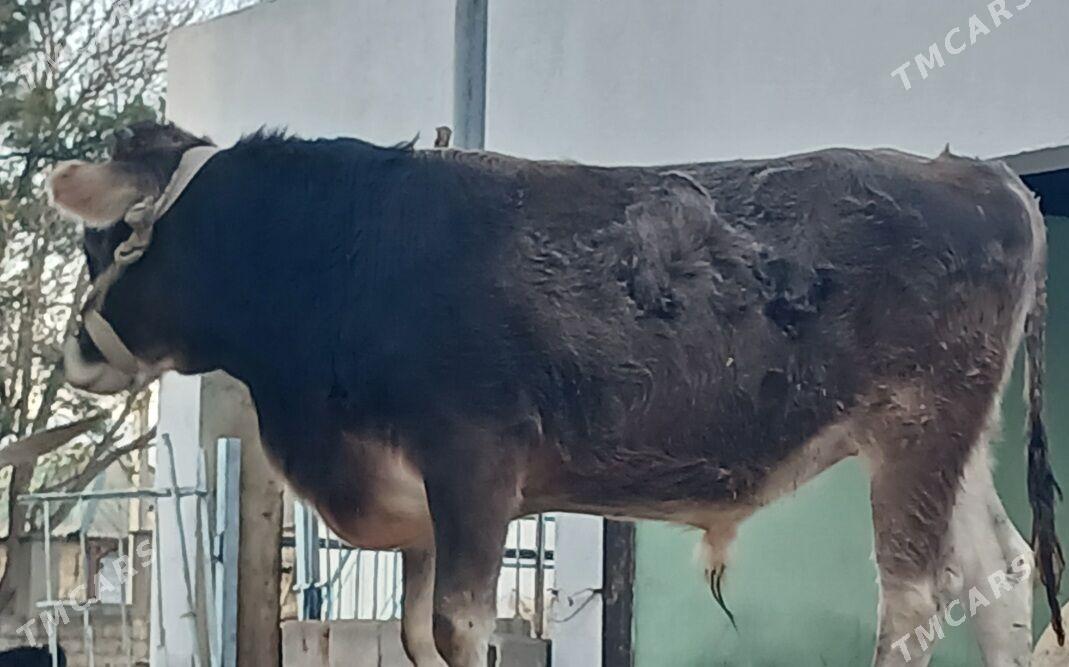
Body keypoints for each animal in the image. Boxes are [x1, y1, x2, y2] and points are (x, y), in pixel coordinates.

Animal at [47, 121, 1061, 667]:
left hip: (917, 424)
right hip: (949, 440)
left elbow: (459, 628)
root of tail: (976, 171)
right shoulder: (418, 501)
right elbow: (413, 633)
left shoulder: (474, 459)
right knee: (999, 577)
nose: (73, 355)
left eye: (107, 238)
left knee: (912, 602)